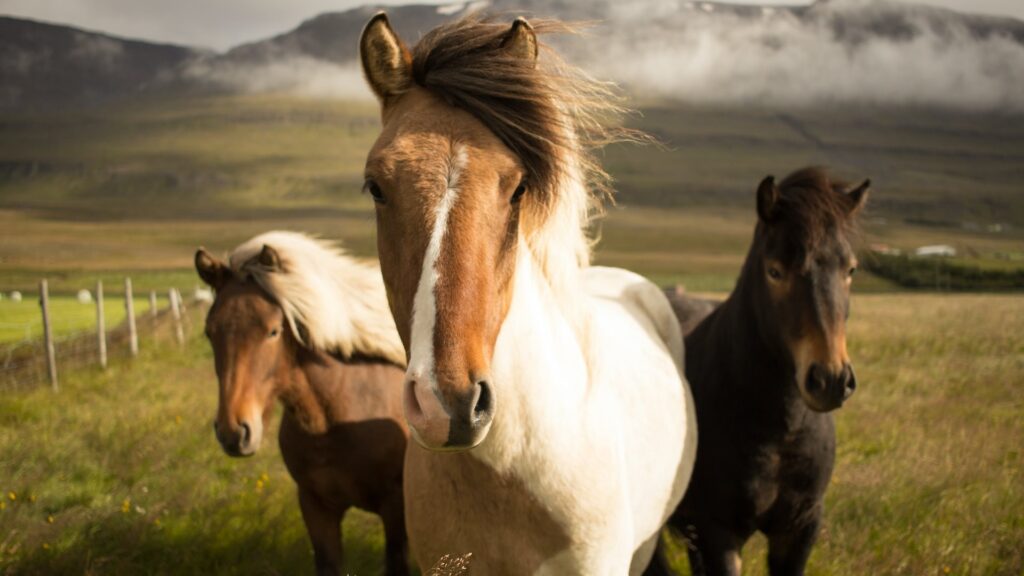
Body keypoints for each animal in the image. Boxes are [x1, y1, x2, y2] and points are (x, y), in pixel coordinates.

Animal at [659, 167, 868, 573]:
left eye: (850, 269)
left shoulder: (800, 528)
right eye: (775, 271)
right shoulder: (718, 532)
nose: (831, 380)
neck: (779, 432)